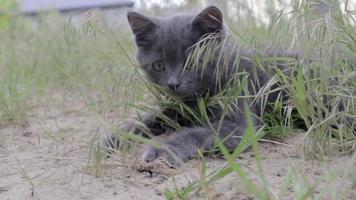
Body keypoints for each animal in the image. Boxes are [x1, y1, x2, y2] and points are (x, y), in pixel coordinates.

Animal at [103, 5, 292, 166]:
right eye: (158, 65)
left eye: (191, 63)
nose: (173, 83)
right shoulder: (178, 110)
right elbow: (150, 119)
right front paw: (113, 139)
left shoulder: (239, 124)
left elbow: (196, 133)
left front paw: (162, 151)